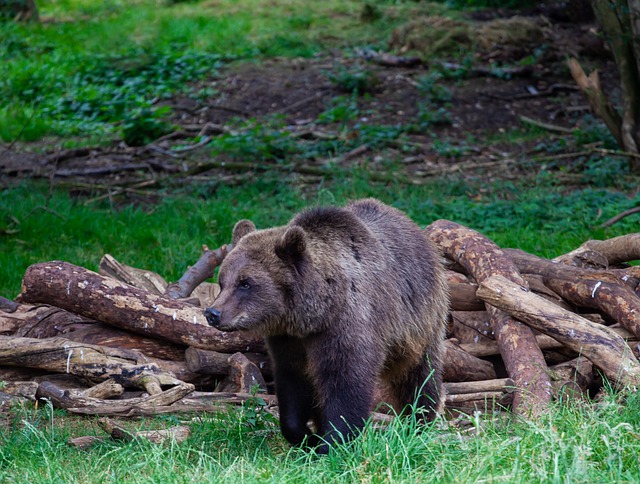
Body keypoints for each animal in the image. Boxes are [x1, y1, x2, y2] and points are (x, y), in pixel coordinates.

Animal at [205, 198, 450, 454]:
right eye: (222, 281)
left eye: (245, 282)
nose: (213, 313)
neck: (315, 315)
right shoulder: (289, 341)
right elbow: (294, 385)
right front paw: (307, 436)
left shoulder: (347, 325)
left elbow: (345, 384)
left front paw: (332, 443)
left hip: (420, 318)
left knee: (419, 373)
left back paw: (419, 421)